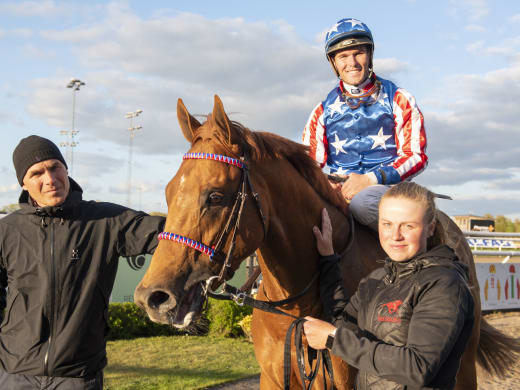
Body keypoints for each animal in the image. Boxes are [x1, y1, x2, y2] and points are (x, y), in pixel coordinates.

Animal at [135, 95, 520, 390]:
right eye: (168, 192)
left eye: (214, 196)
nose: (152, 297)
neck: (296, 310)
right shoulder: (273, 379)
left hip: (463, 364)